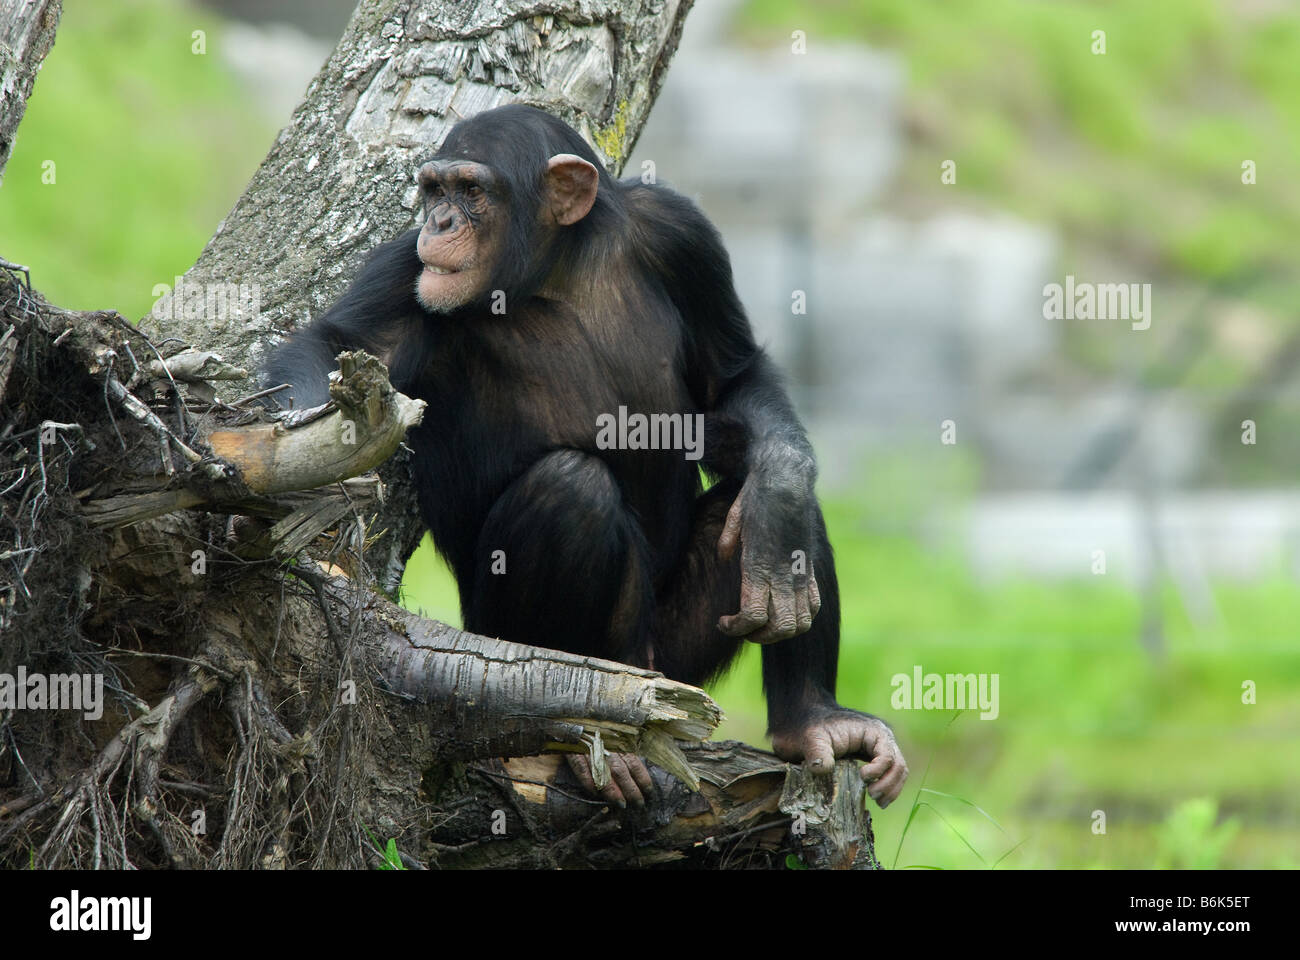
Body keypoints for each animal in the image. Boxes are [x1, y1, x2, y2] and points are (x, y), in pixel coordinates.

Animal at [263, 102, 909, 806]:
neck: (556, 268)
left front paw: (782, 491)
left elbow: (731, 379)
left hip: (677, 666)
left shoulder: (683, 234)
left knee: (761, 493)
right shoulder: (405, 272)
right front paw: (296, 458)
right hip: (508, 646)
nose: (438, 223)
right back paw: (584, 732)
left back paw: (813, 716)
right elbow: (336, 343)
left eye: (470, 191)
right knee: (570, 491)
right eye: (433, 190)